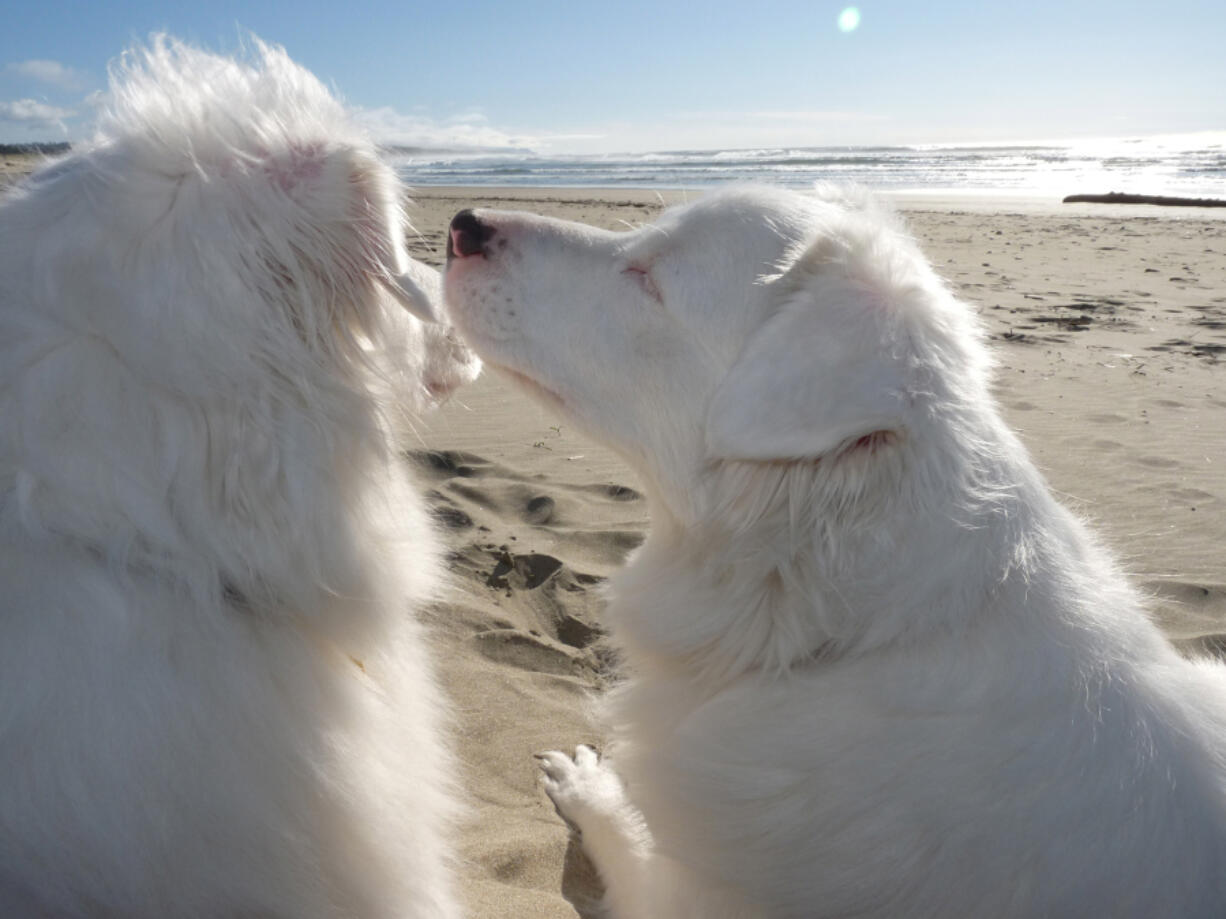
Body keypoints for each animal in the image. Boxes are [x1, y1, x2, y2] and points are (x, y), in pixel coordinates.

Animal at [446, 183, 1226, 916]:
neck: (852, 626)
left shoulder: (686, 892)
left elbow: (628, 828)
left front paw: (589, 781)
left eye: (649, 275)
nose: (461, 225)